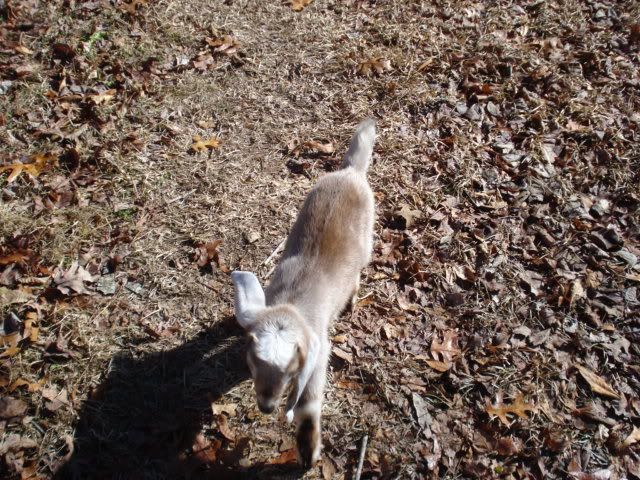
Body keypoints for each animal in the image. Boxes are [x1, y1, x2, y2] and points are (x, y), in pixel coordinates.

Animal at [231, 118, 376, 468]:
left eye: (289, 371)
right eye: (254, 361)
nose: (266, 407)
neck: (292, 304)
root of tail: (352, 171)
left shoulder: (319, 350)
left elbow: (309, 405)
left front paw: (309, 451)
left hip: (368, 241)